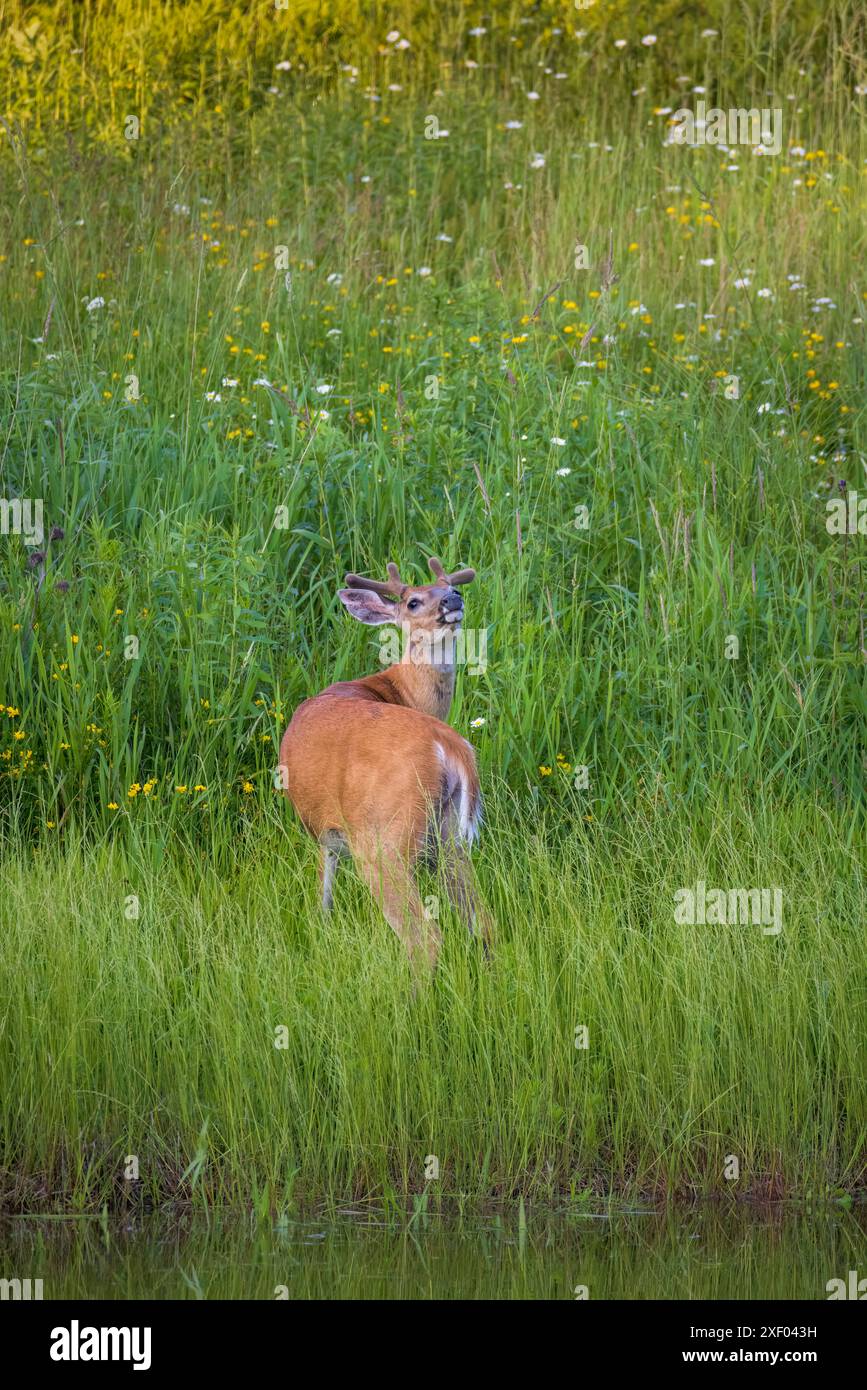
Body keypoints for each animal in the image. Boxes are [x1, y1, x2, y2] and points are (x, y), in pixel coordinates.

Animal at [280, 558, 491, 973]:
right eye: (413, 601)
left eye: (449, 586)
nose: (453, 597)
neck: (398, 690)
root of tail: (448, 743)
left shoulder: (326, 829)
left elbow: (323, 894)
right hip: (449, 837)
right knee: (482, 919)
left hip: (384, 840)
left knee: (424, 937)